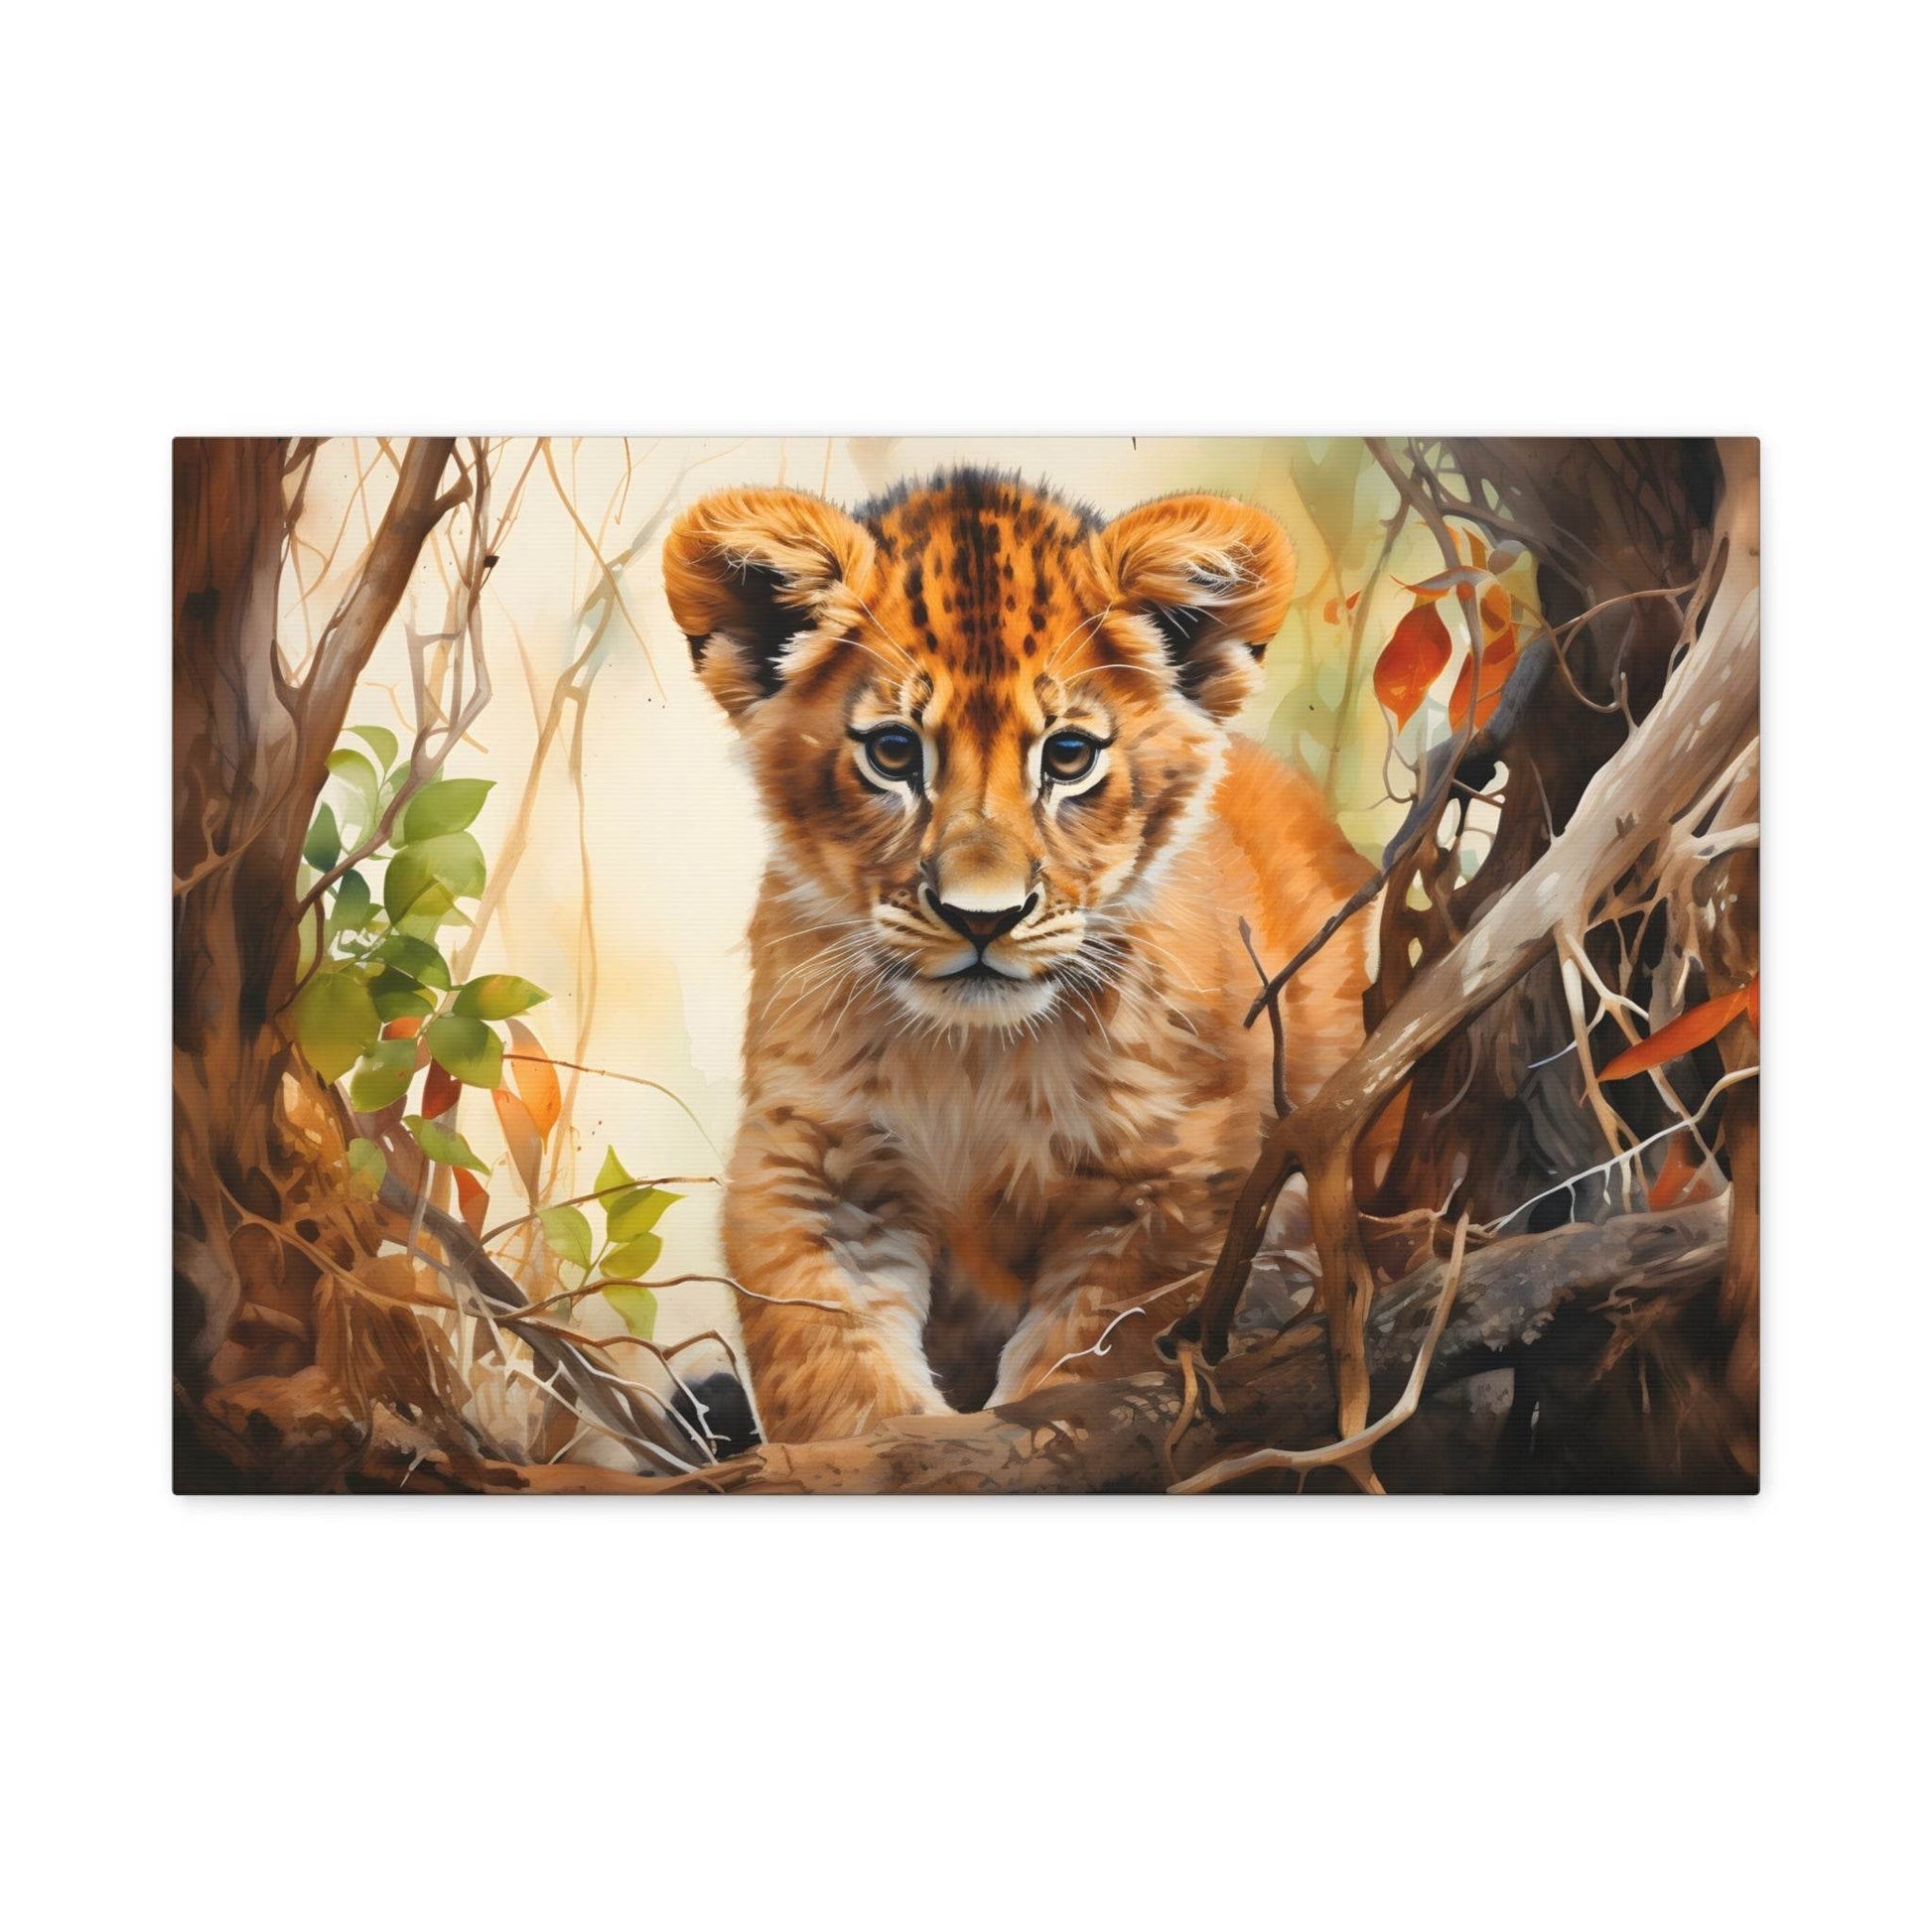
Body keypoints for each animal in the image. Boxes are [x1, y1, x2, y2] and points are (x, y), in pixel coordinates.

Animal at [662, 468, 1376, 1444]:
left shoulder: (1172, 1183)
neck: (975, 1060)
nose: (982, 919)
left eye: (1068, 756)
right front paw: (893, 1444)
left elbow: (1092, 1363)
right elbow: (831, 1367)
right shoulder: (812, 1164)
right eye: (894, 752)